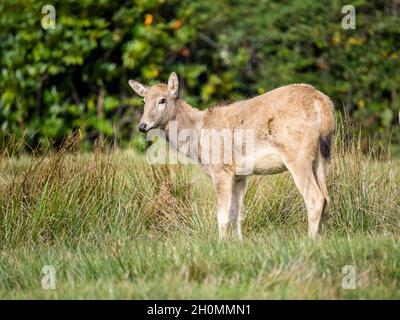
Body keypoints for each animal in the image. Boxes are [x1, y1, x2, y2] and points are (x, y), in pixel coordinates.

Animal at [130, 72, 336, 240]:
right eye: (143, 101)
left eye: (162, 100)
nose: (142, 125)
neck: (196, 135)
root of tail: (322, 102)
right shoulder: (239, 175)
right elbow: (237, 213)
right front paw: (238, 243)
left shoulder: (221, 169)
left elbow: (222, 215)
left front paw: (220, 244)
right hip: (321, 157)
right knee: (326, 197)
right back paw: (320, 239)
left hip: (297, 155)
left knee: (315, 198)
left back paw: (309, 241)